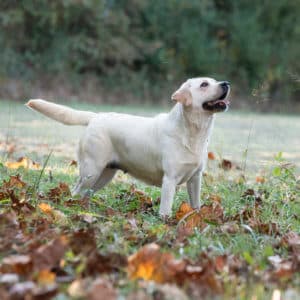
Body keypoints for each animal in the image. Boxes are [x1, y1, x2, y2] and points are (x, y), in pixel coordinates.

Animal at [27, 77, 231, 216]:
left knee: (86, 193)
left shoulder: (195, 178)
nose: (226, 83)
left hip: (105, 174)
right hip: (91, 170)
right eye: (204, 84)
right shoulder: (169, 180)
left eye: (214, 80)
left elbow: (196, 204)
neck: (193, 133)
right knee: (76, 190)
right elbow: (165, 210)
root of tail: (95, 116)